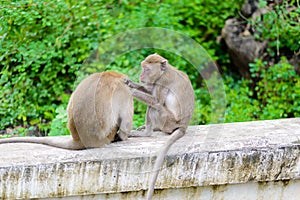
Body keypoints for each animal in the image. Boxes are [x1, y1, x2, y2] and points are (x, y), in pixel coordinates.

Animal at [124, 52, 195, 198]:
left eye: (147, 69)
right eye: (143, 68)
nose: (141, 76)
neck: (163, 72)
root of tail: (183, 126)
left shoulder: (163, 81)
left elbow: (156, 101)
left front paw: (130, 91)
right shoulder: (156, 81)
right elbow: (150, 90)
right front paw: (130, 83)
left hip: (167, 120)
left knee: (154, 107)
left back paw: (146, 133)